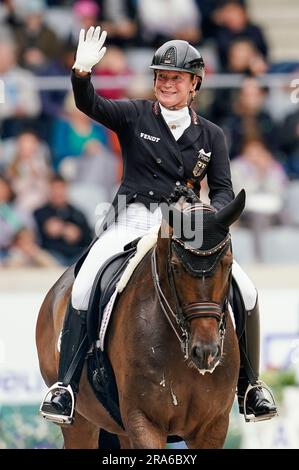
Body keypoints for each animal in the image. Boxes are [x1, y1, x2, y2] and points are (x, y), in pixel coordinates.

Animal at [35, 188, 246, 448]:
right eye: (175, 267)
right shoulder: (143, 420)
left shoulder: (212, 426)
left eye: (228, 265)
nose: (206, 351)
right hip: (81, 422)